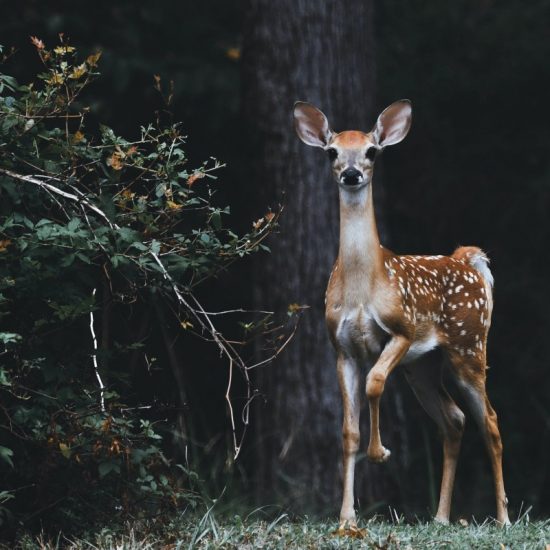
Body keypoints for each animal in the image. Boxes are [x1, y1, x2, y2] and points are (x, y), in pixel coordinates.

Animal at [296, 101, 512, 532]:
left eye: (371, 150)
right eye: (331, 152)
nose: (351, 173)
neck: (363, 288)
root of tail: (468, 260)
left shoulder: (402, 329)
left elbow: (376, 382)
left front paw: (380, 452)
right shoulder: (341, 348)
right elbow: (348, 431)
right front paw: (346, 518)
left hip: (469, 345)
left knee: (491, 422)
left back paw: (503, 518)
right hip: (424, 365)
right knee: (454, 419)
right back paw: (441, 517)